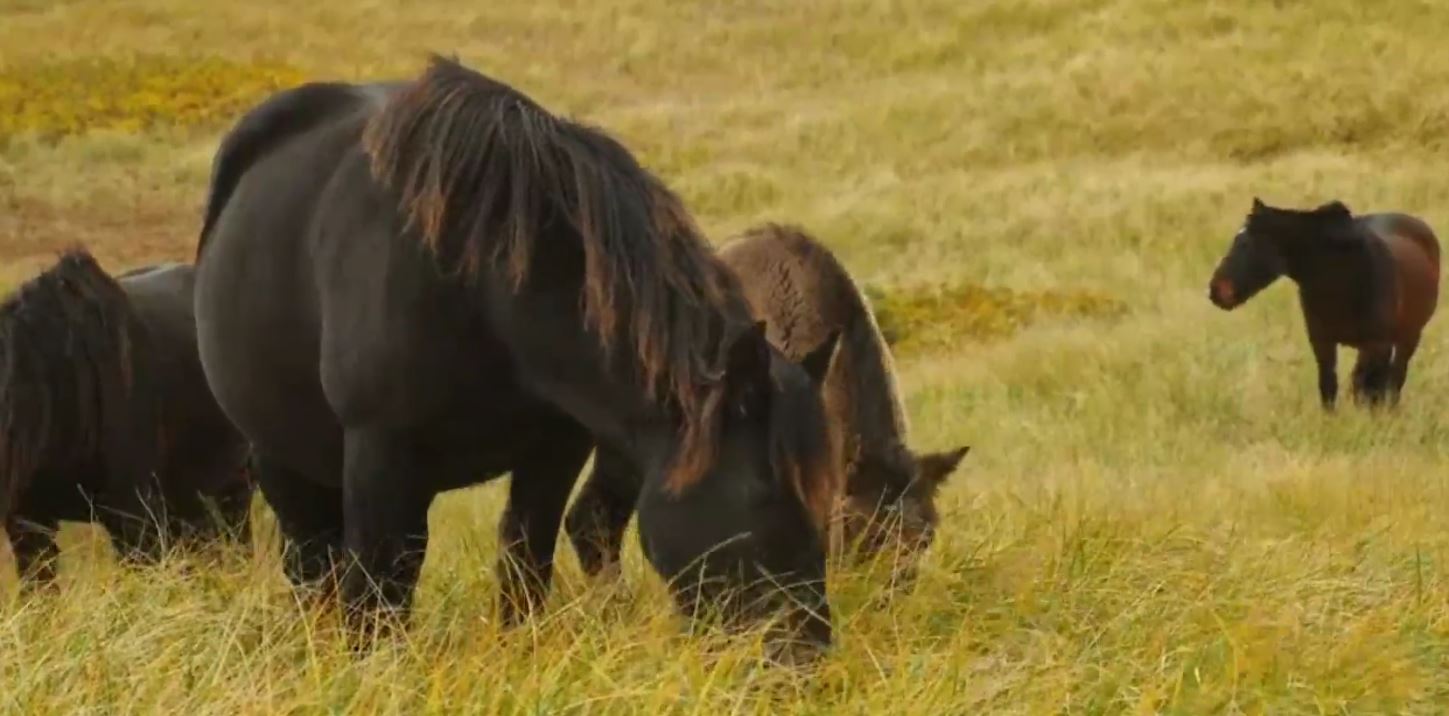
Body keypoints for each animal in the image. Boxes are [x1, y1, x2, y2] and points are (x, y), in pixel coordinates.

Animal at [192, 55, 840, 655]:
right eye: (759, 494)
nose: (806, 652)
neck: (481, 282)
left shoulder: (555, 449)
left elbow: (524, 564)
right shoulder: (380, 454)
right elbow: (378, 591)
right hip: (282, 457)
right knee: (312, 564)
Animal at [1211, 197, 1437, 408]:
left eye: (1245, 243)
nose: (1215, 290)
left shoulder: (1374, 344)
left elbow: (1362, 386)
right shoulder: (1322, 342)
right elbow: (1330, 386)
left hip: (1409, 337)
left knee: (1395, 377)